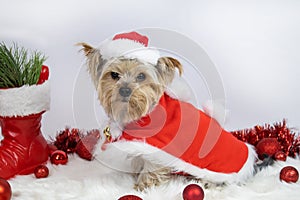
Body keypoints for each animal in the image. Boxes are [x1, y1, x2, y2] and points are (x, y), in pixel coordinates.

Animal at [78, 31, 256, 191]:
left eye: (141, 76)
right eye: (114, 75)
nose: (125, 90)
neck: (141, 113)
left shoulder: (158, 148)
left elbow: (151, 166)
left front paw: (144, 185)